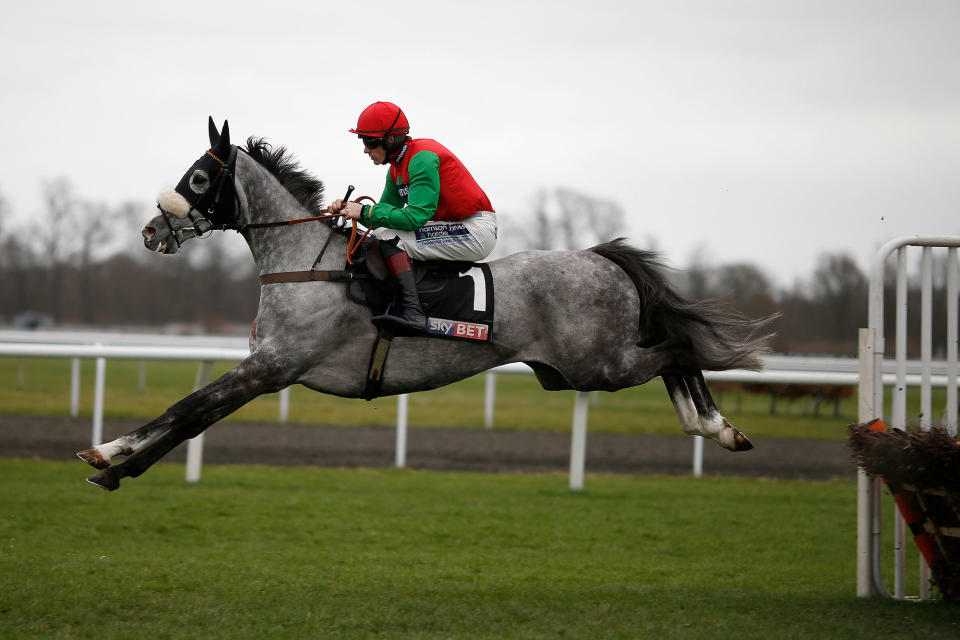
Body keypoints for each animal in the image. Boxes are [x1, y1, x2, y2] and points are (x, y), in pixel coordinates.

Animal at [79, 119, 776, 490]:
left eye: (200, 176)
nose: (151, 230)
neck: (306, 261)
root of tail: (600, 258)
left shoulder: (275, 366)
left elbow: (190, 406)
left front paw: (107, 455)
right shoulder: (268, 369)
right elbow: (195, 414)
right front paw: (115, 467)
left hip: (597, 364)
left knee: (677, 347)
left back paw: (715, 426)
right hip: (569, 372)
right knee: (673, 351)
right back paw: (715, 426)